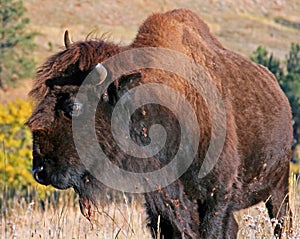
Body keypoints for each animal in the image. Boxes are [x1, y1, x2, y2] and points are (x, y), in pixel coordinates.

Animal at [26, 8, 292, 239]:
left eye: (73, 105)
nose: (40, 170)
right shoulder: (160, 203)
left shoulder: (217, 196)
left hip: (278, 185)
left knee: (281, 221)